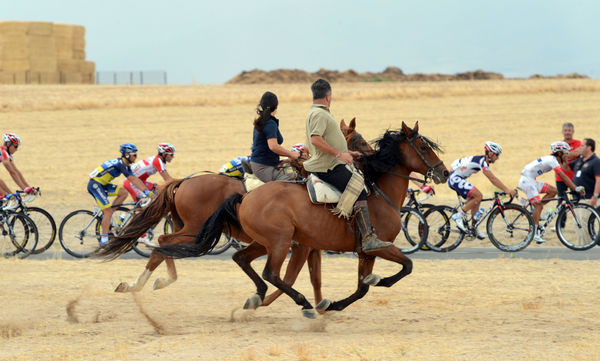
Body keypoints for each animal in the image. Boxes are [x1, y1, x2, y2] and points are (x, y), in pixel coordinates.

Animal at [157, 121, 448, 318]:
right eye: (424, 147)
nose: (443, 172)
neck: (378, 192)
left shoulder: (356, 251)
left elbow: (351, 285)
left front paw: (331, 304)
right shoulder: (374, 246)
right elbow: (406, 266)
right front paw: (377, 283)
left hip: (263, 241)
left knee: (240, 259)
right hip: (275, 241)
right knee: (269, 272)